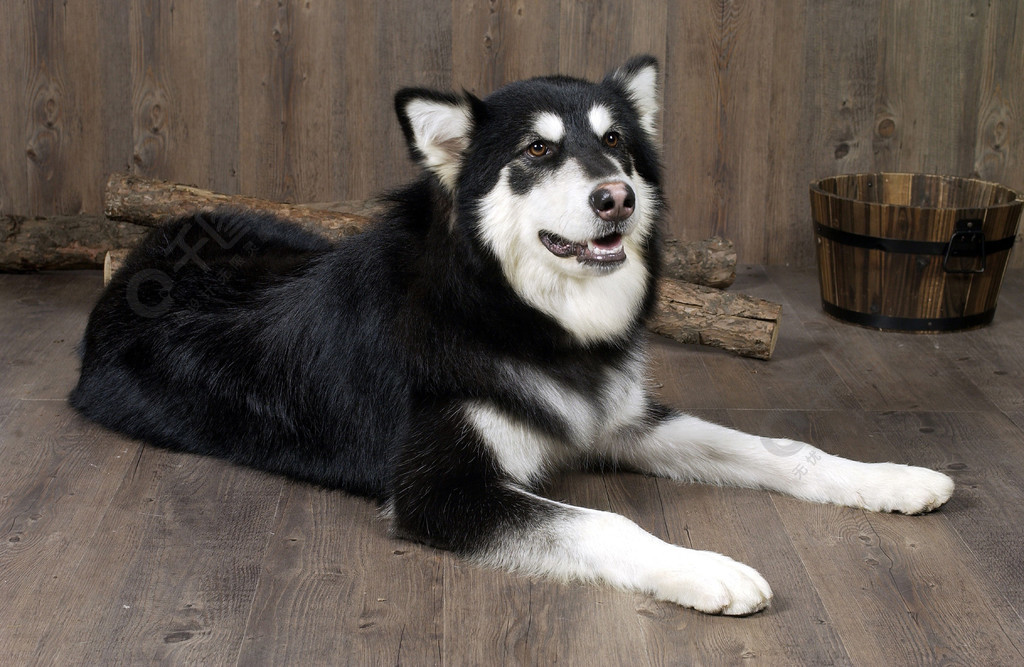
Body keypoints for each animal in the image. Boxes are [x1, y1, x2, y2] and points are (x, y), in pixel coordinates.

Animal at [70, 57, 950, 614]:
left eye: (616, 142)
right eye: (537, 149)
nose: (617, 197)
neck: (514, 311)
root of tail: (150, 245)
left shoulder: (618, 418)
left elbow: (784, 449)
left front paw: (893, 479)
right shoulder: (439, 490)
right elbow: (605, 521)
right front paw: (706, 570)